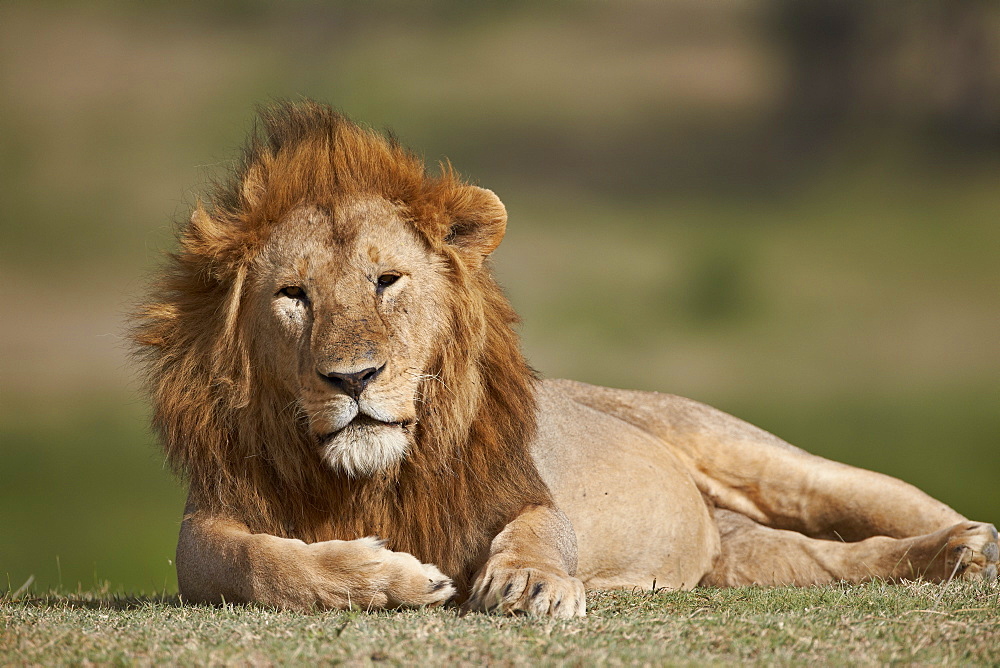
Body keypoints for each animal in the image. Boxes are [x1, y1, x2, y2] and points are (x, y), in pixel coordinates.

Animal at [135, 102, 1000, 620]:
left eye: (387, 281)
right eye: (294, 296)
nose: (354, 379)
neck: (372, 475)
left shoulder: (521, 488)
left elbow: (543, 526)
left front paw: (526, 582)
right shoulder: (205, 528)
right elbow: (259, 563)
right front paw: (389, 579)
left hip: (759, 456)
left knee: (883, 502)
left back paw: (971, 544)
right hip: (746, 559)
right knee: (841, 560)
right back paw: (951, 558)